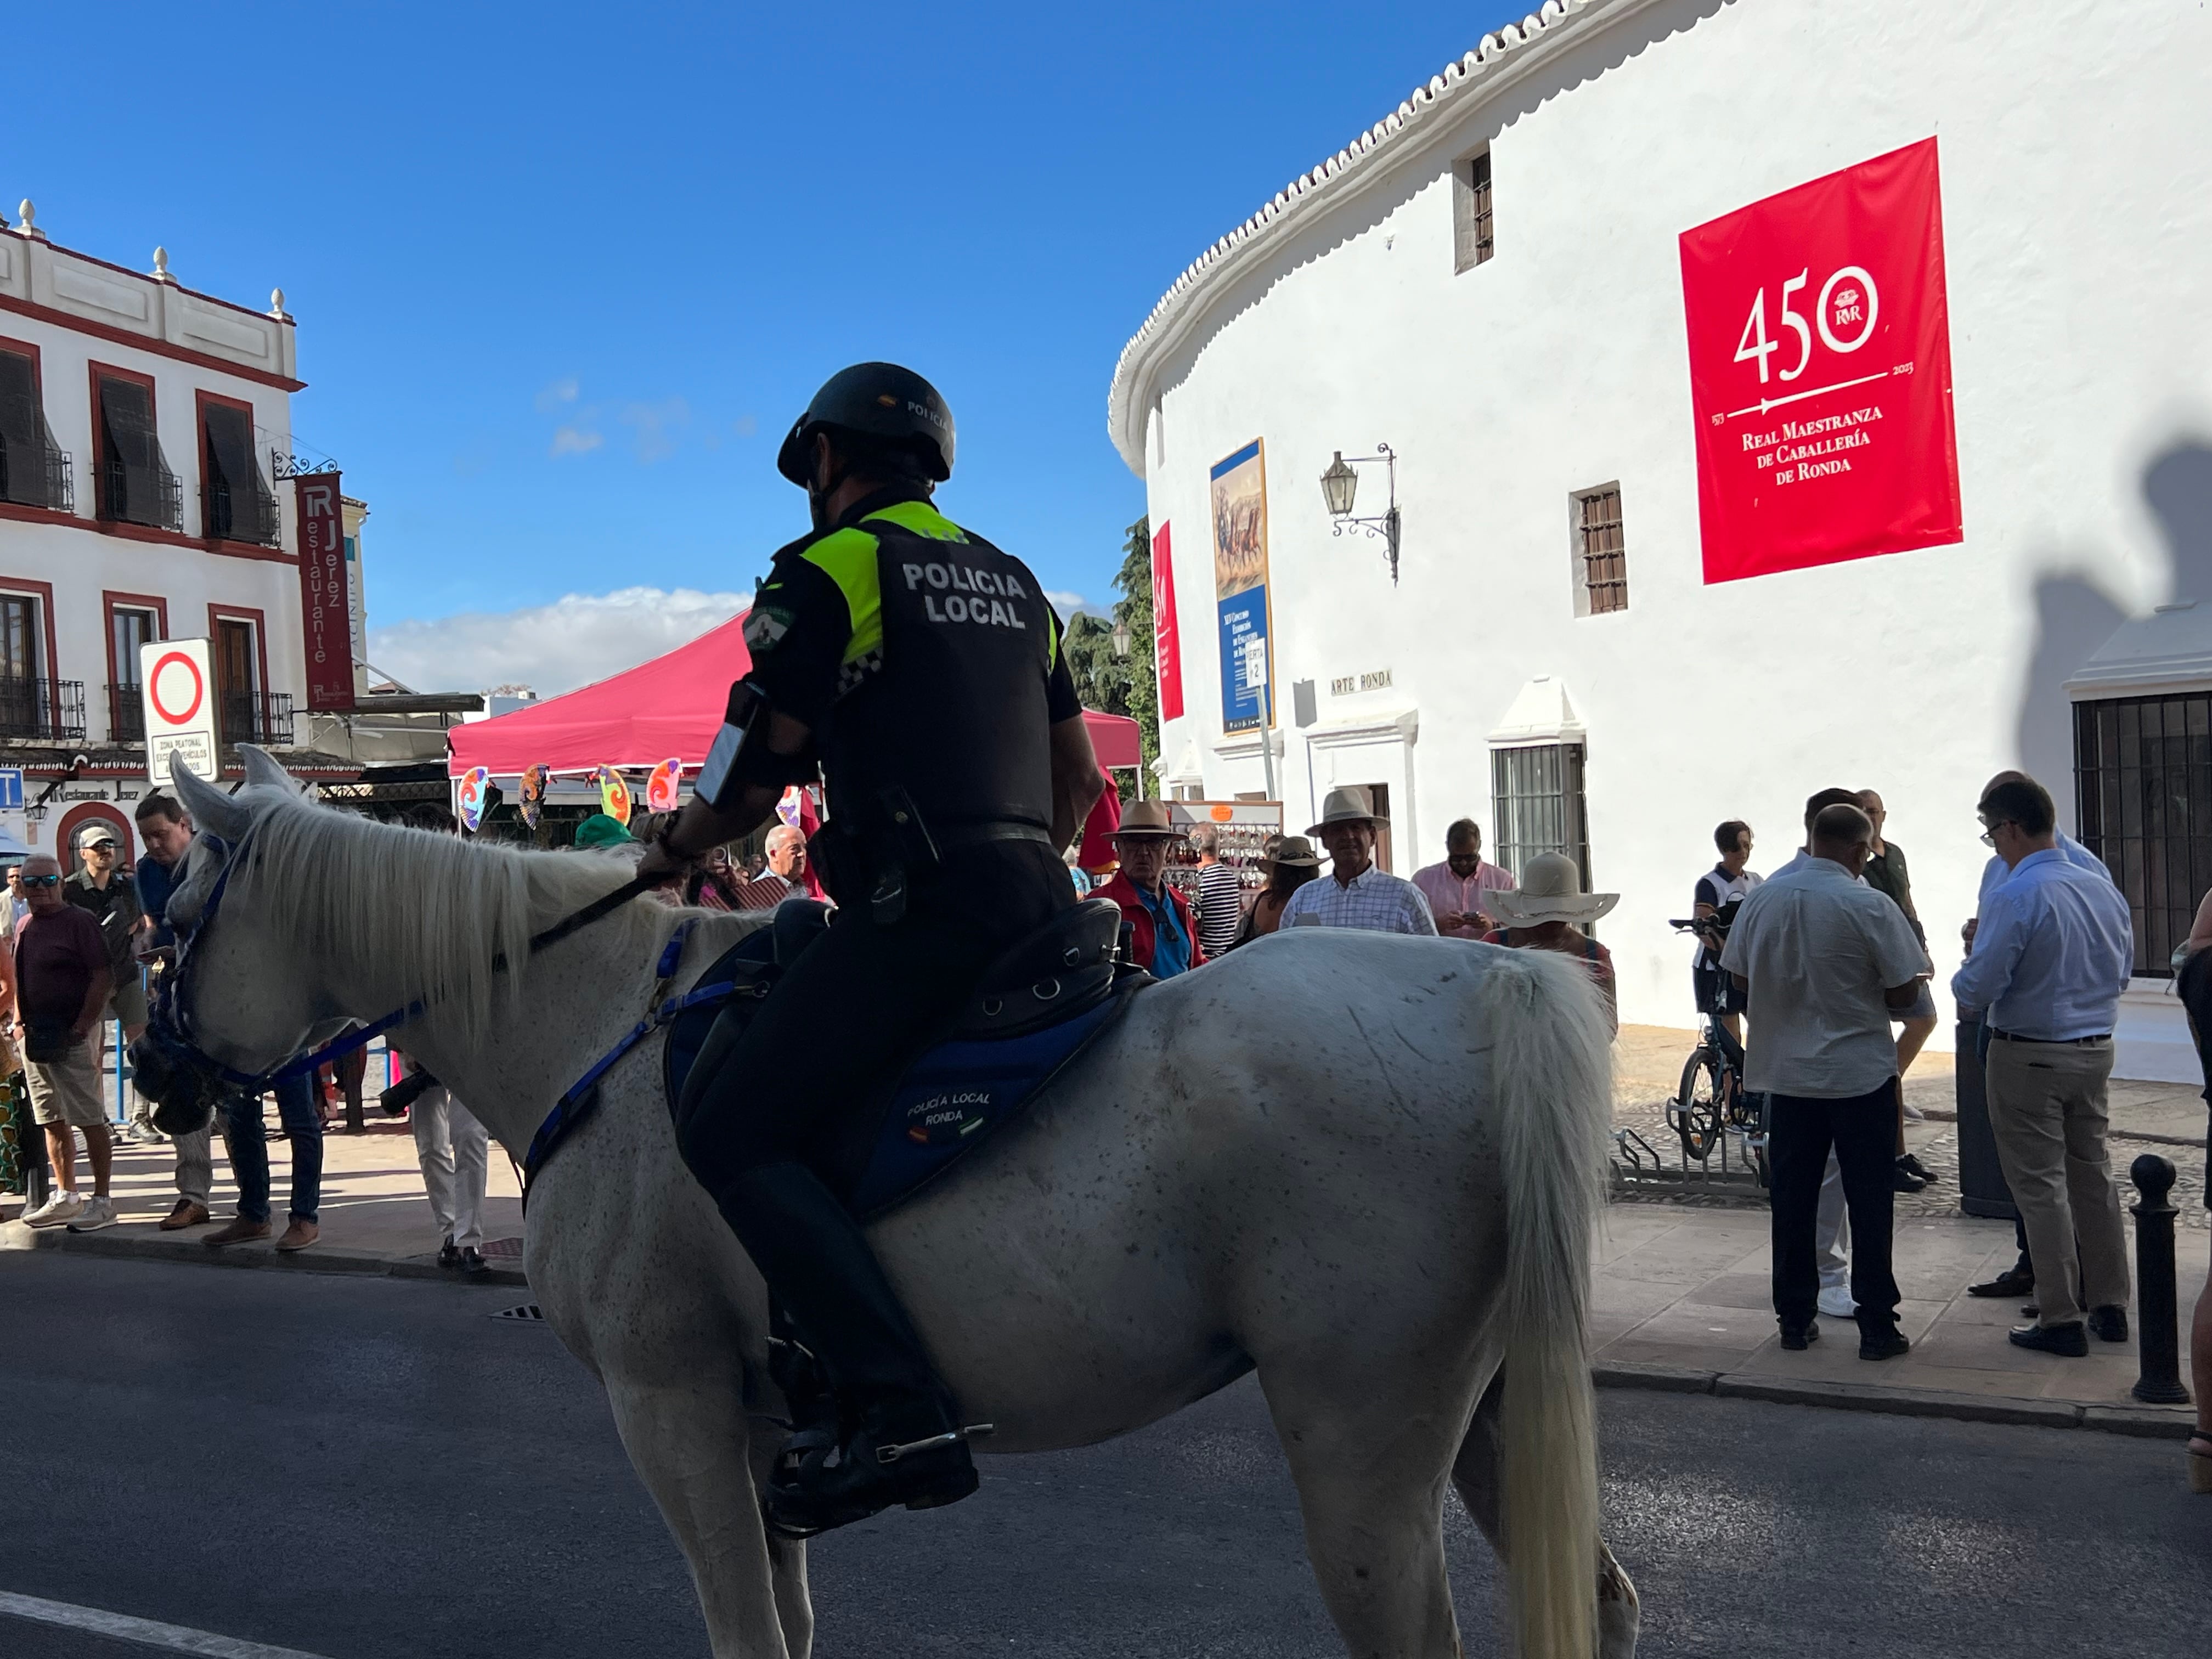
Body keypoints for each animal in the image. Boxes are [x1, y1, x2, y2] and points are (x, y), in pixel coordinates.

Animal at [160, 756, 1645, 1659]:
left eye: (173, 916)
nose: (169, 1084)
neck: (592, 1027)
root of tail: (1488, 984)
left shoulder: (670, 1408)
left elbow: (743, 1635)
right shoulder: (761, 1428)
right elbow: (788, 1632)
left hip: (1364, 1446)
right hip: (1487, 1415)